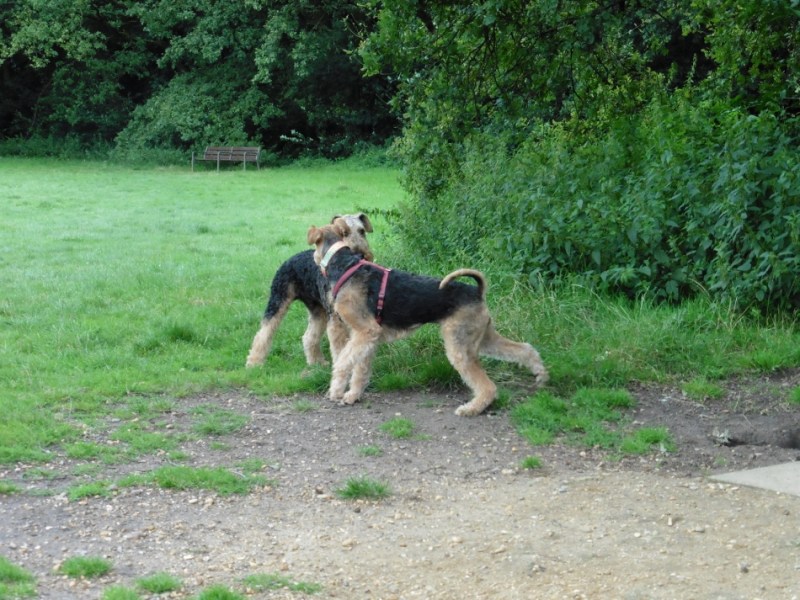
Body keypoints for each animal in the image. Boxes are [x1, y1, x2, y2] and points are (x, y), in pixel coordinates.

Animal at [246, 213, 373, 368]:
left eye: (362, 231)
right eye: (344, 233)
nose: (361, 255)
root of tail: (291, 258)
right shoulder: (335, 318)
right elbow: (340, 347)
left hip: (318, 310)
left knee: (308, 337)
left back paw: (316, 362)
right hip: (278, 301)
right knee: (263, 333)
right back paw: (254, 363)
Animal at [307, 218, 549, 416]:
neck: (344, 263)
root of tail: (477, 291)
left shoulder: (365, 331)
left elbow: (343, 362)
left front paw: (335, 391)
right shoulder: (366, 338)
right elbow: (360, 369)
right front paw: (352, 395)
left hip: (460, 347)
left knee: (488, 386)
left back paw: (470, 409)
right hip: (482, 338)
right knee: (524, 349)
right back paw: (541, 375)